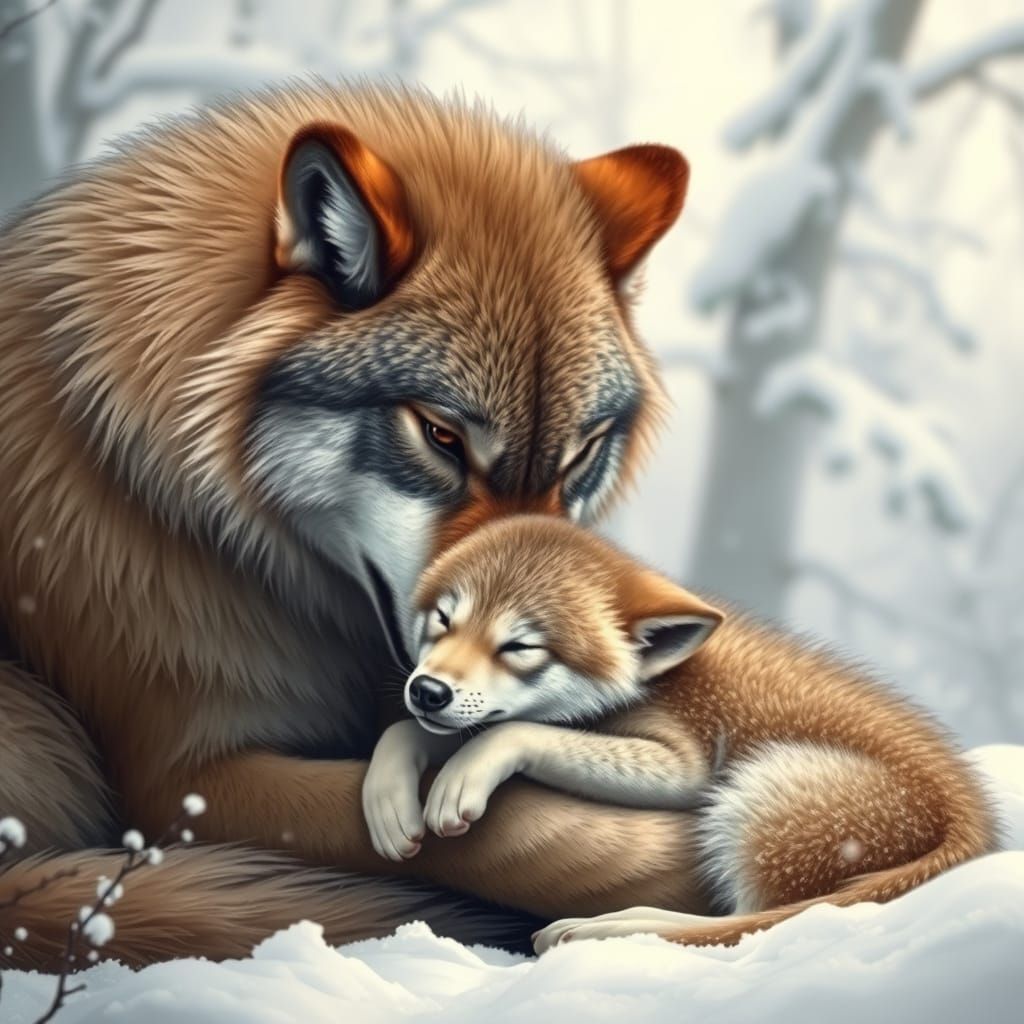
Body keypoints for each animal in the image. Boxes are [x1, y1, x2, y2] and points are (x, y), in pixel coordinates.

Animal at [361, 515, 997, 950]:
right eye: (444, 620)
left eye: (519, 647)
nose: (428, 690)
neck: (654, 679)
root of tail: (970, 823)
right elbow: (414, 731)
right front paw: (389, 794)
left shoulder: (686, 762)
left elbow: (513, 730)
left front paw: (463, 774)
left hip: (756, 791)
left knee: (747, 921)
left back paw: (612, 928)